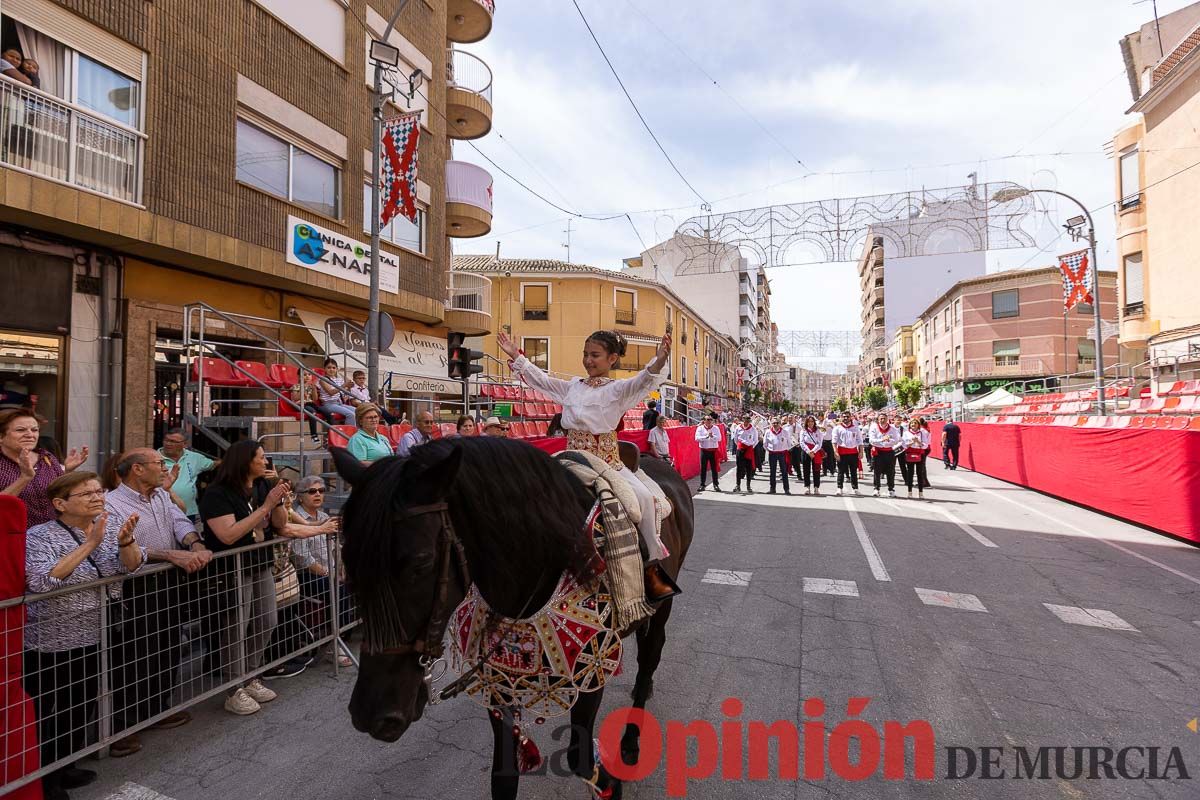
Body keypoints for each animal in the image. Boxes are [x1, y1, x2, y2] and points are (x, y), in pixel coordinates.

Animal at [336, 438, 696, 800]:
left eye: (420, 563)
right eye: (347, 561)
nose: (371, 715)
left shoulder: (592, 667)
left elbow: (581, 759)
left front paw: (610, 782)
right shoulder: (499, 682)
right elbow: (504, 776)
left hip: (661, 611)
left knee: (649, 660)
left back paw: (631, 742)